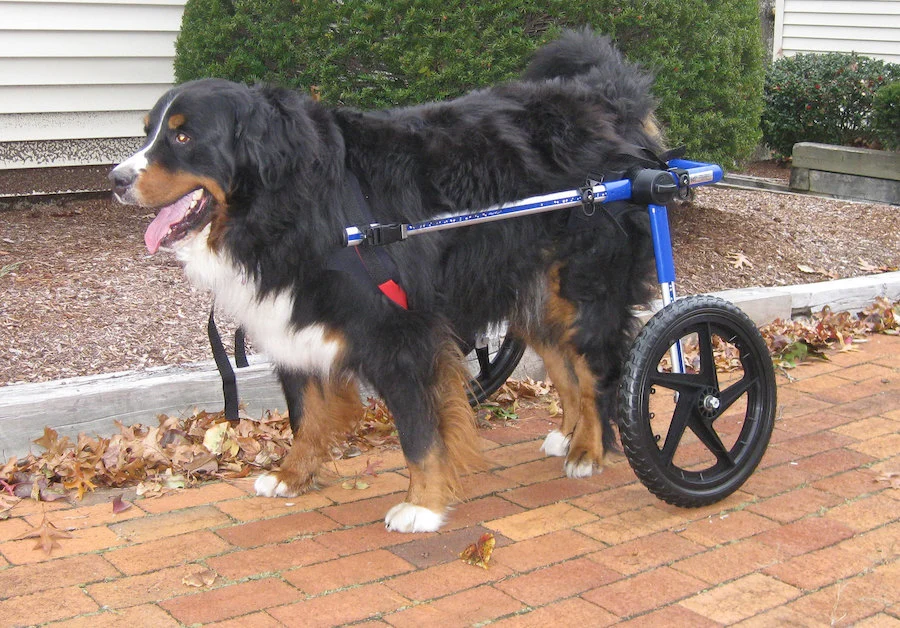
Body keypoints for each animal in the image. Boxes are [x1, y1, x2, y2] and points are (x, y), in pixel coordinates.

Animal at [110, 28, 660, 528]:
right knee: (565, 365)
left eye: (184, 136)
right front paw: (292, 475)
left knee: (595, 369)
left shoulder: (400, 334)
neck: (290, 204)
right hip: (530, 290)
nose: (115, 179)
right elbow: (306, 412)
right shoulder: (293, 319)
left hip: (583, 287)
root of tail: (603, 101)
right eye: (149, 131)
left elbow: (418, 432)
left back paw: (590, 448)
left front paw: (423, 504)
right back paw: (569, 436)